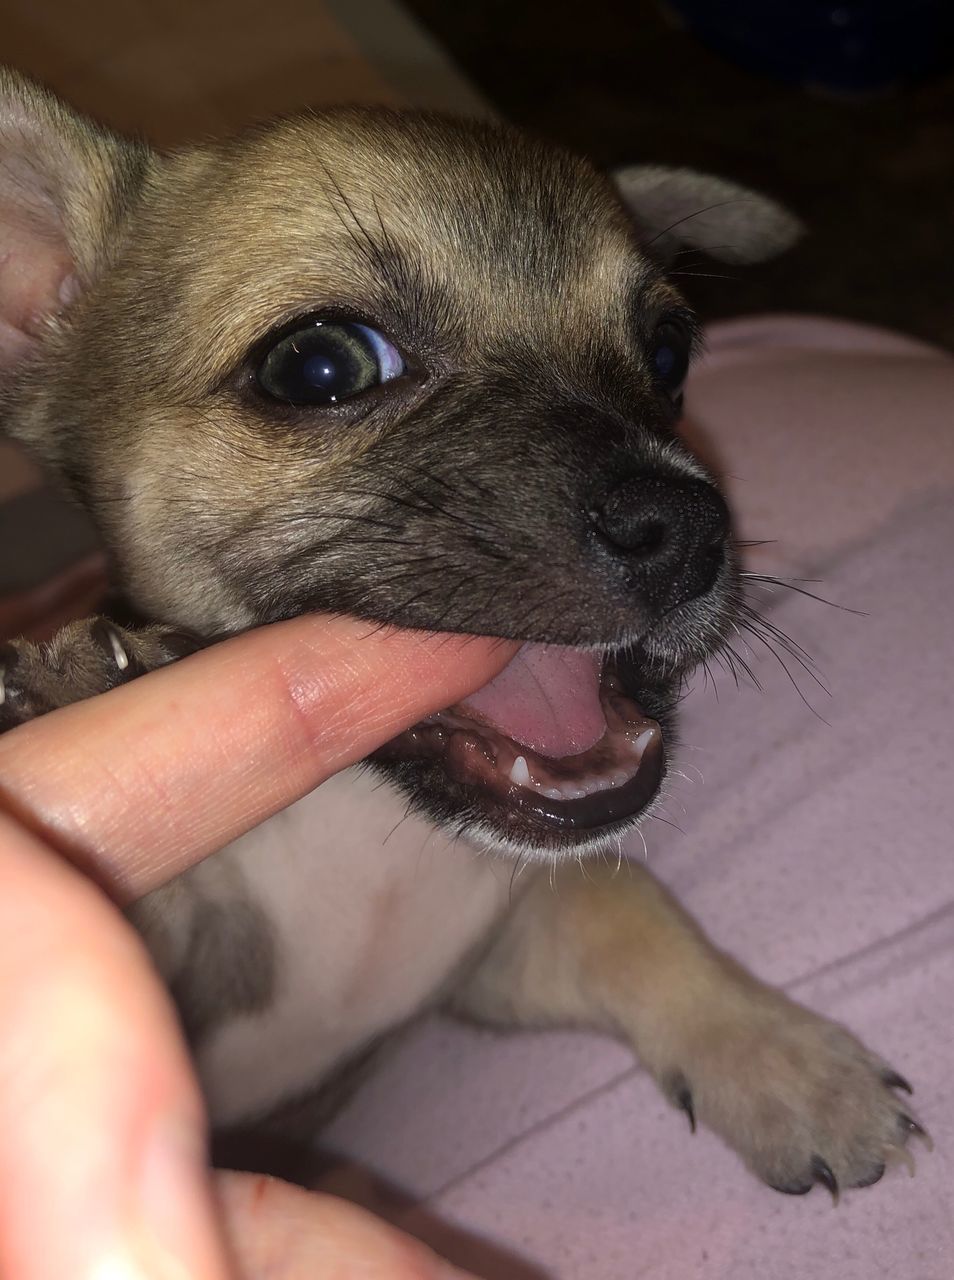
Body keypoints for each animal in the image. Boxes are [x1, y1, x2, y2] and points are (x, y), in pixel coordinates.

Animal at [0, 67, 921, 1187]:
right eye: (319, 367)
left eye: (669, 354)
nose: (690, 525)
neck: (361, 820)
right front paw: (87, 693)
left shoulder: (492, 949)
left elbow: (634, 918)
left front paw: (785, 1062)